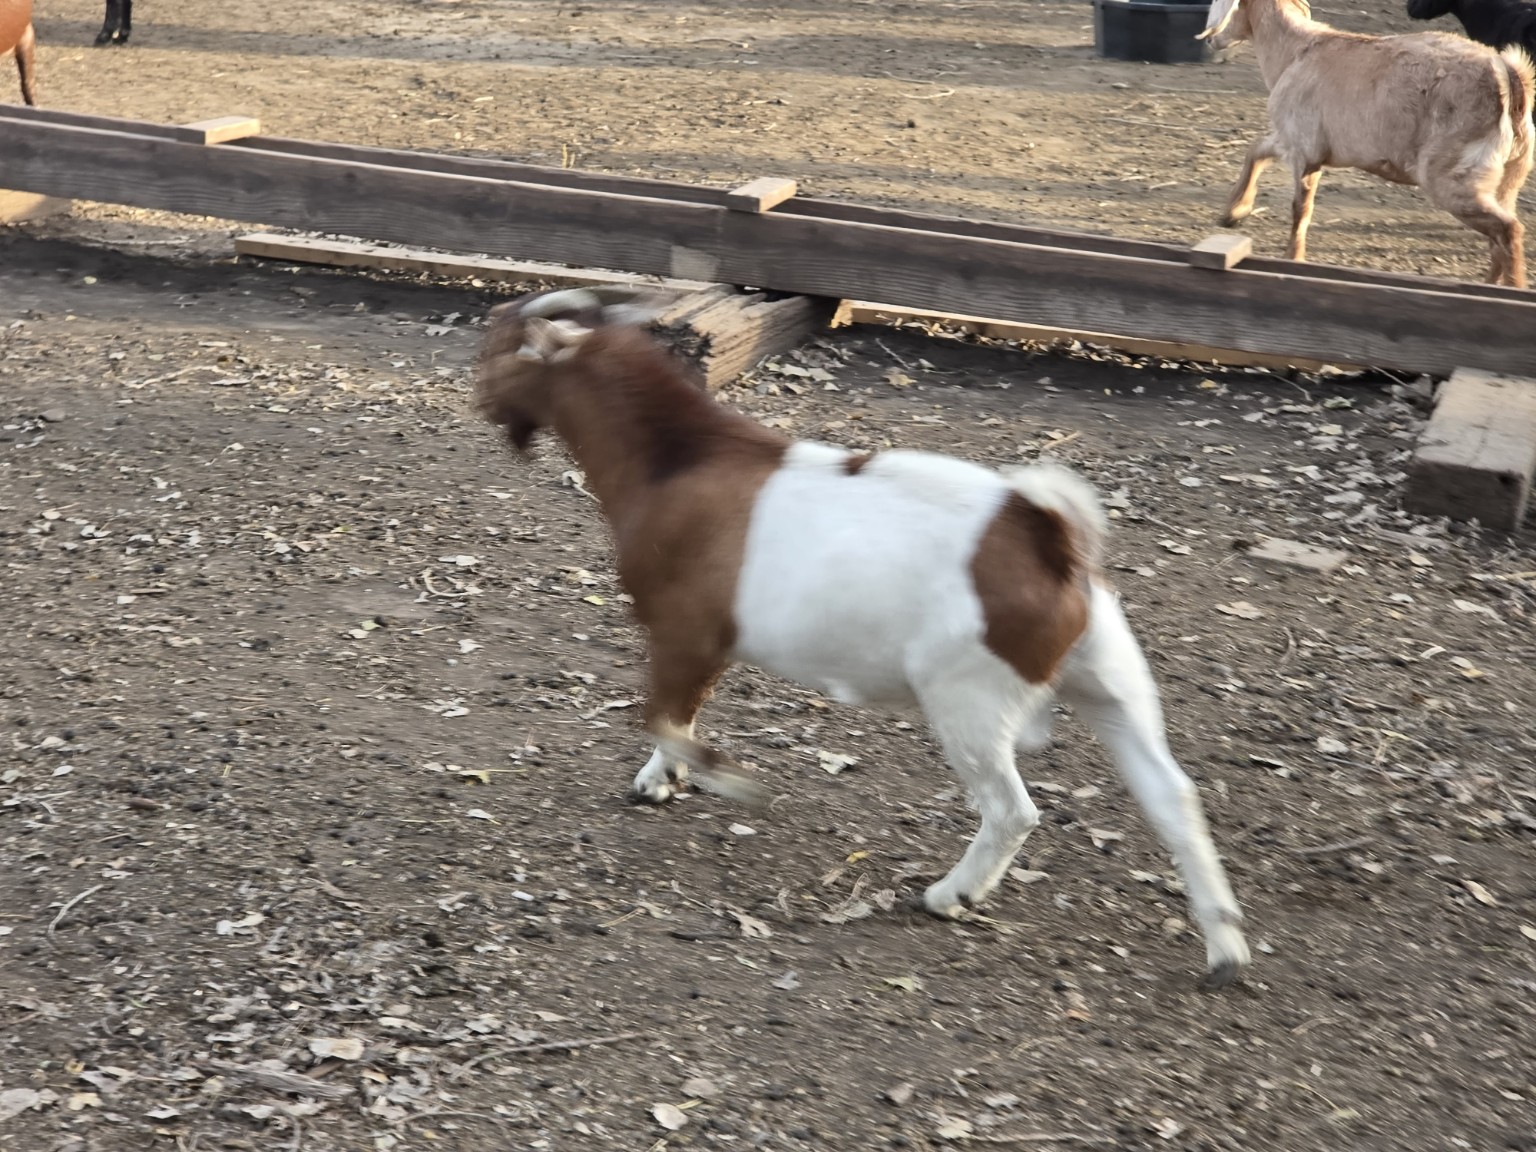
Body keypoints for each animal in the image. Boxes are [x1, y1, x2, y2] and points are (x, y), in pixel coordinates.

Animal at [476, 285, 1251, 989]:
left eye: (494, 349)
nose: (478, 400)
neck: (677, 456)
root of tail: (1050, 539)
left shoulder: (683, 631)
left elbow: (663, 716)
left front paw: (731, 781)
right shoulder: (703, 645)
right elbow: (676, 716)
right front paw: (662, 779)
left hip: (968, 700)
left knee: (1012, 810)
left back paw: (951, 894)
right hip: (1111, 682)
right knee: (1173, 798)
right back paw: (1225, 951)